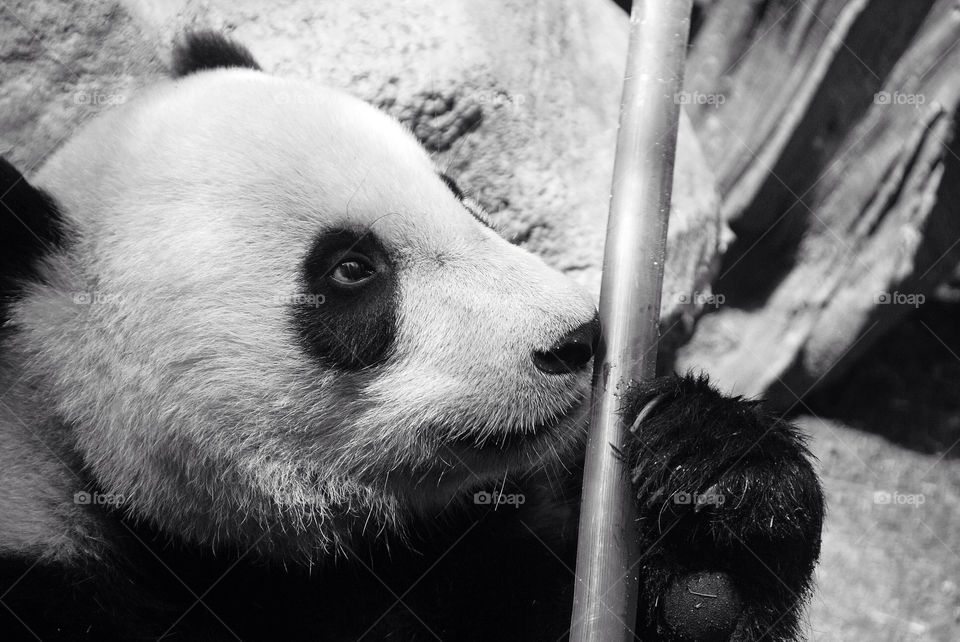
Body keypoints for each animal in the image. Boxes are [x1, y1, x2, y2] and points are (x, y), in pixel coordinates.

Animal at [0, 32, 823, 642]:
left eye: (458, 196)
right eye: (352, 270)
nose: (577, 338)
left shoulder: (457, 555)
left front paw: (714, 491)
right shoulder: (65, 577)